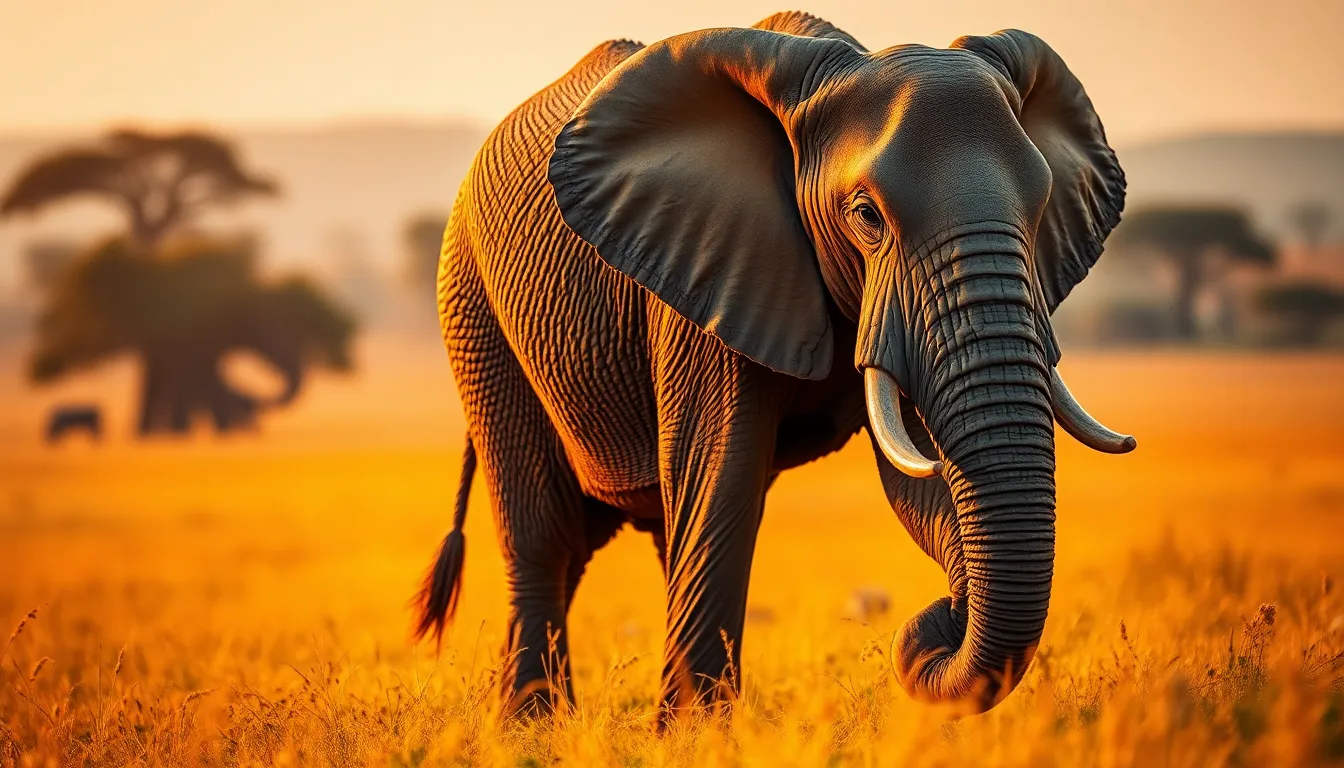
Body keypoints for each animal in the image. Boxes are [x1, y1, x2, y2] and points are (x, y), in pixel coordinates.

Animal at [415, 11, 1134, 719]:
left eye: (1040, 209)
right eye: (867, 216)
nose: (930, 628)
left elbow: (916, 480)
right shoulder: (707, 274)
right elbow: (725, 473)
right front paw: (698, 733)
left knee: (628, 535)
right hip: (473, 310)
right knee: (544, 532)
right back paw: (532, 724)